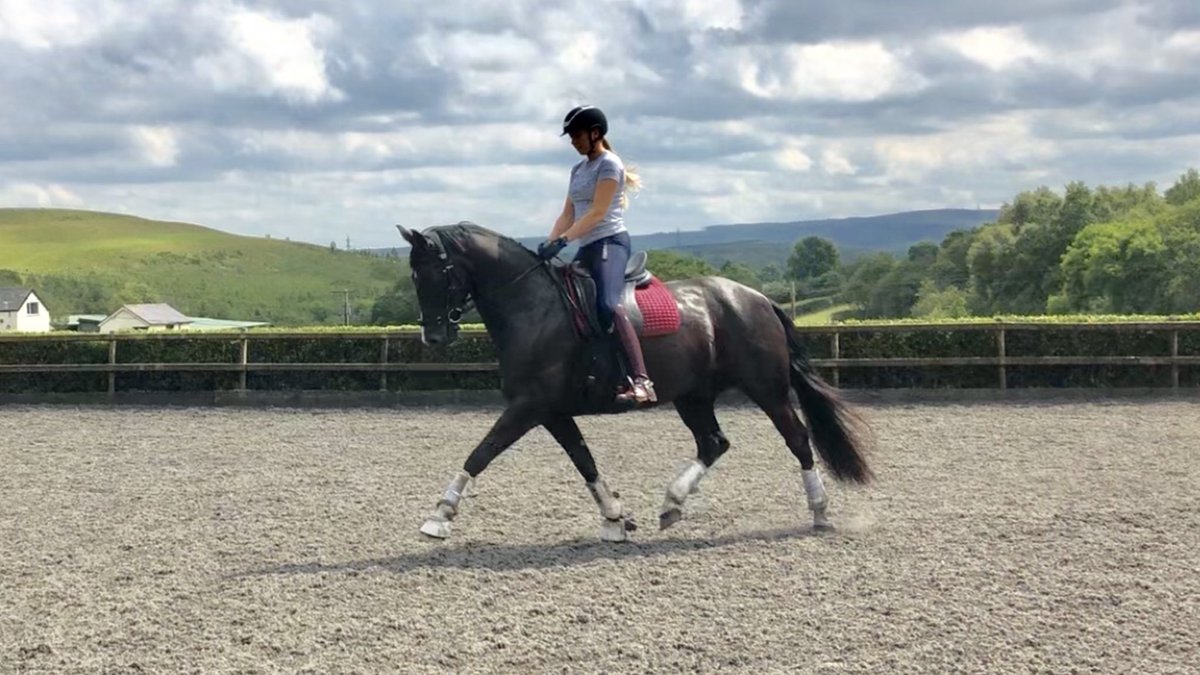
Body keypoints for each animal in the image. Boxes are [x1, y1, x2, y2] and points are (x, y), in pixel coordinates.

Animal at [396, 220, 873, 540]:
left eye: (433, 273)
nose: (433, 336)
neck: (533, 306)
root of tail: (755, 297)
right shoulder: (551, 411)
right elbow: (584, 461)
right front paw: (614, 519)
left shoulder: (529, 406)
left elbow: (482, 452)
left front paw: (440, 515)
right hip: (693, 396)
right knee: (713, 443)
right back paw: (671, 504)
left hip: (767, 389)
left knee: (797, 439)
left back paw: (819, 511)